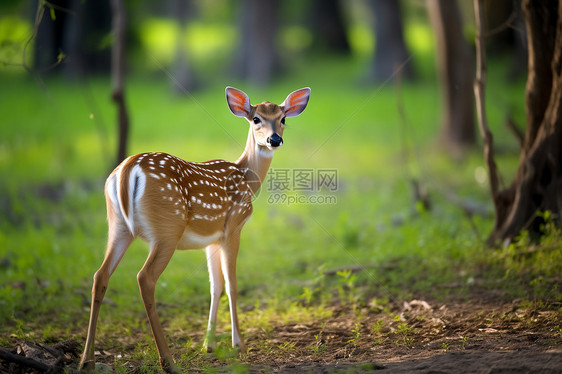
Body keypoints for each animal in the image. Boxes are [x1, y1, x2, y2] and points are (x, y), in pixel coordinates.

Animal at [77, 87, 308, 372]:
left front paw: (208, 344)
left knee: (100, 275)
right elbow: (232, 285)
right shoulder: (234, 227)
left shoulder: (211, 240)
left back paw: (86, 360)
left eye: (282, 118)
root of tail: (127, 169)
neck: (247, 178)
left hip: (118, 225)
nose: (274, 139)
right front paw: (239, 344)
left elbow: (215, 286)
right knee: (145, 278)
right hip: (167, 229)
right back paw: (167, 360)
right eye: (256, 119)